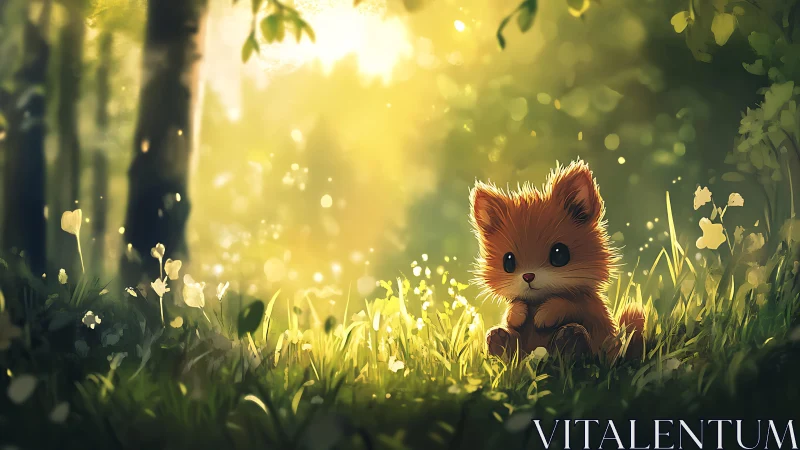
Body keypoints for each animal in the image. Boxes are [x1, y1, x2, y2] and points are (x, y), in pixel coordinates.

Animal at [470, 159, 644, 360]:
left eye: (559, 254)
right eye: (508, 262)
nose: (528, 276)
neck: (538, 301)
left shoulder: (589, 307)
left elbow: (568, 304)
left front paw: (545, 315)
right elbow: (512, 311)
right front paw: (518, 313)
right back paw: (500, 341)